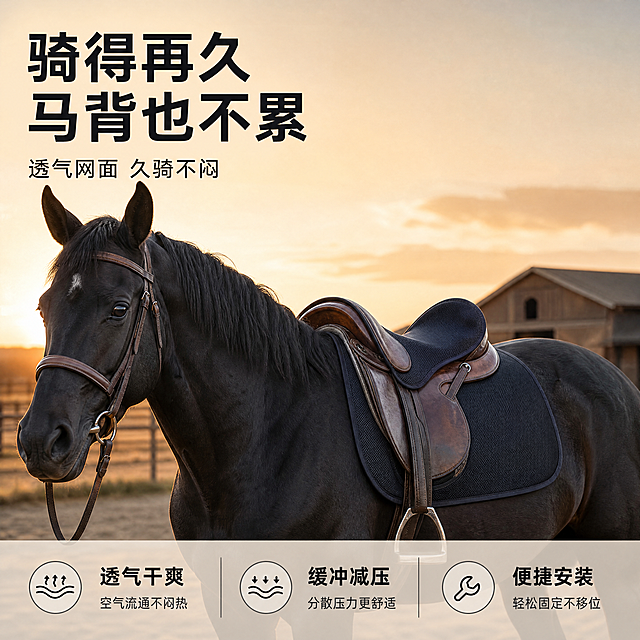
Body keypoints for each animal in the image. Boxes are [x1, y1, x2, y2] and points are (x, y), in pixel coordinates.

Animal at [17, 183, 640, 639]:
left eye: (119, 308)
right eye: (44, 307)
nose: (41, 441)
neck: (265, 440)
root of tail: (614, 380)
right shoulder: (230, 607)